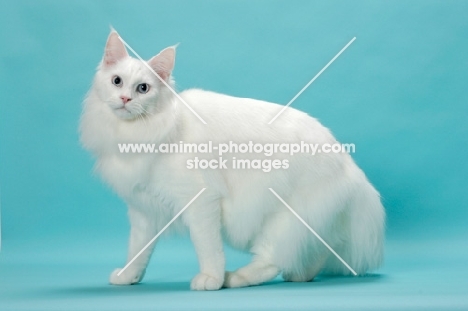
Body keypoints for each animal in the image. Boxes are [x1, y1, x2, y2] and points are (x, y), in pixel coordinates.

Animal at [79, 30, 384, 292]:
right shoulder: (144, 210)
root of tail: (351, 168)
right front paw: (128, 277)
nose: (125, 98)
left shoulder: (200, 201)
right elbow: (137, 252)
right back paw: (299, 275)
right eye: (117, 81)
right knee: (312, 252)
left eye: (143, 88)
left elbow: (208, 248)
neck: (135, 134)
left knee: (271, 261)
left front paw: (211, 279)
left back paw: (234, 278)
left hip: (282, 220)